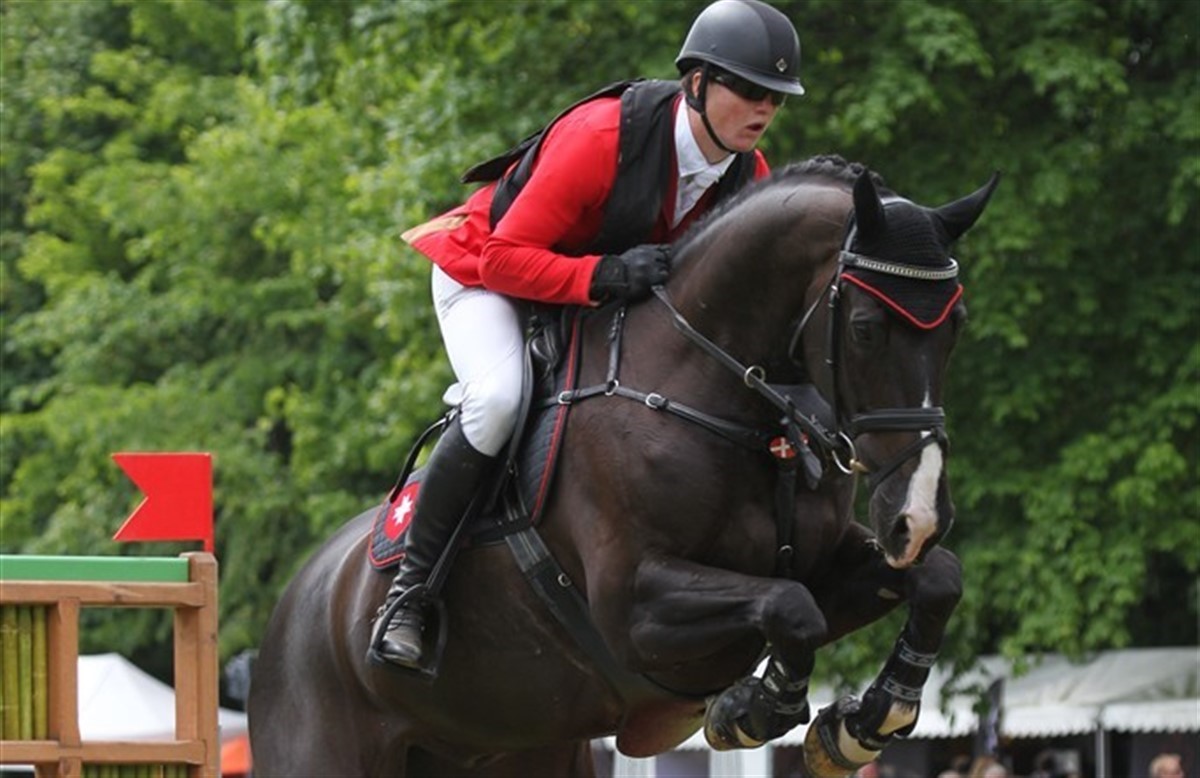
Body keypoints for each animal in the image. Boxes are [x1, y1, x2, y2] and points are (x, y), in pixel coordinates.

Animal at [247, 155, 998, 777]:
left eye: (957, 327)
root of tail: (294, 603)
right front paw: (752, 709)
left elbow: (936, 579)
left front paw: (869, 719)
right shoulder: (634, 609)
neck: (715, 392)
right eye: (867, 329)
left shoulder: (829, 560)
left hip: (518, 751)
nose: (917, 515)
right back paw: (402, 625)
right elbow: (791, 606)